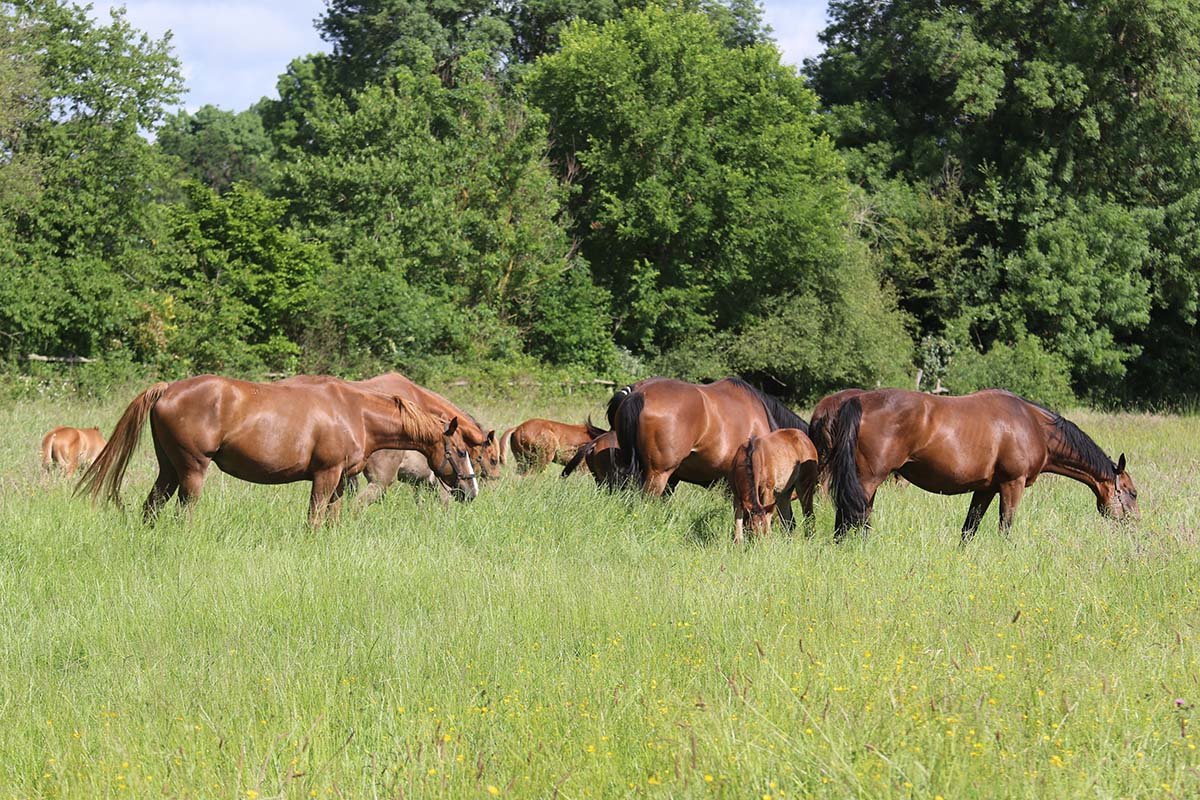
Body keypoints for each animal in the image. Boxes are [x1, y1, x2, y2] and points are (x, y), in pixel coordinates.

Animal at [76, 375, 477, 526]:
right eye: (459, 451)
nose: (470, 490)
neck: (354, 412)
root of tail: (167, 389)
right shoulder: (325, 476)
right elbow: (314, 519)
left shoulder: (340, 481)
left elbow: (332, 520)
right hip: (192, 470)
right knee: (183, 512)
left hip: (169, 469)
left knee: (152, 507)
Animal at [826, 388, 1139, 541]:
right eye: (1133, 493)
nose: (1135, 524)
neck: (1034, 425)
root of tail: (858, 401)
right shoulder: (1012, 485)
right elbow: (1006, 528)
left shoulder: (985, 489)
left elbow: (969, 530)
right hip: (867, 481)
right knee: (851, 519)